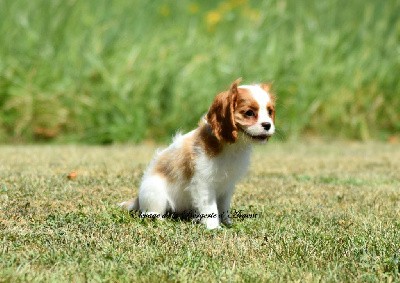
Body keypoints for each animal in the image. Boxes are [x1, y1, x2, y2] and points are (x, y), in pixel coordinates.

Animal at [120, 79, 276, 230]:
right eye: (249, 113)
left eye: (270, 112)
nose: (268, 125)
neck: (232, 146)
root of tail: (138, 198)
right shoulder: (203, 184)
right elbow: (210, 208)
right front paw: (213, 227)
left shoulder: (227, 186)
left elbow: (223, 206)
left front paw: (227, 223)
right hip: (155, 192)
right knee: (150, 212)